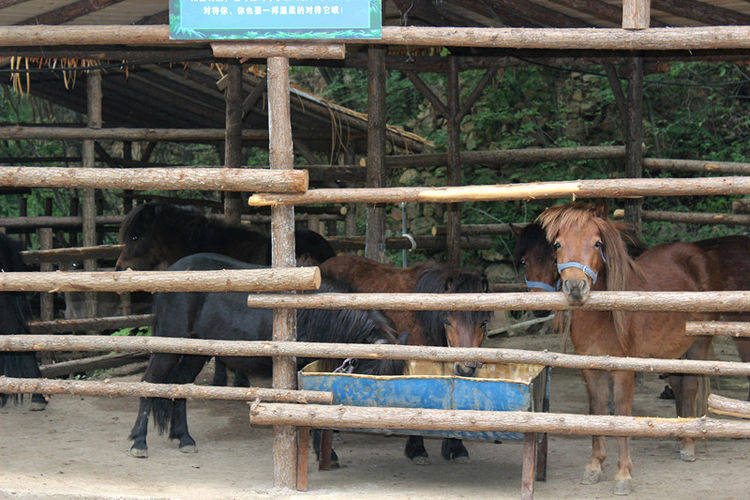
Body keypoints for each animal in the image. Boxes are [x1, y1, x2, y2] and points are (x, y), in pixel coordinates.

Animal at [129, 254, 406, 458]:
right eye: (370, 376)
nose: (384, 426)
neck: (316, 314)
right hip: (168, 348)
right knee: (149, 382)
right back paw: (139, 442)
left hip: (195, 352)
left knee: (181, 386)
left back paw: (184, 438)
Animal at [318, 256, 490, 466]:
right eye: (448, 321)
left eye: (483, 323)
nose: (466, 368)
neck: (423, 317)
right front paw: (417, 449)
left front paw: (455, 448)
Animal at [536, 201, 720, 494]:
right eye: (557, 244)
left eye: (597, 243)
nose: (576, 287)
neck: (605, 316)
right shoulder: (590, 368)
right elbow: (597, 409)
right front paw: (595, 465)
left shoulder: (624, 369)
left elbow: (622, 412)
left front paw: (623, 474)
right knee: (679, 387)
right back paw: (680, 438)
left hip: (699, 343)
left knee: (690, 386)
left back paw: (688, 445)